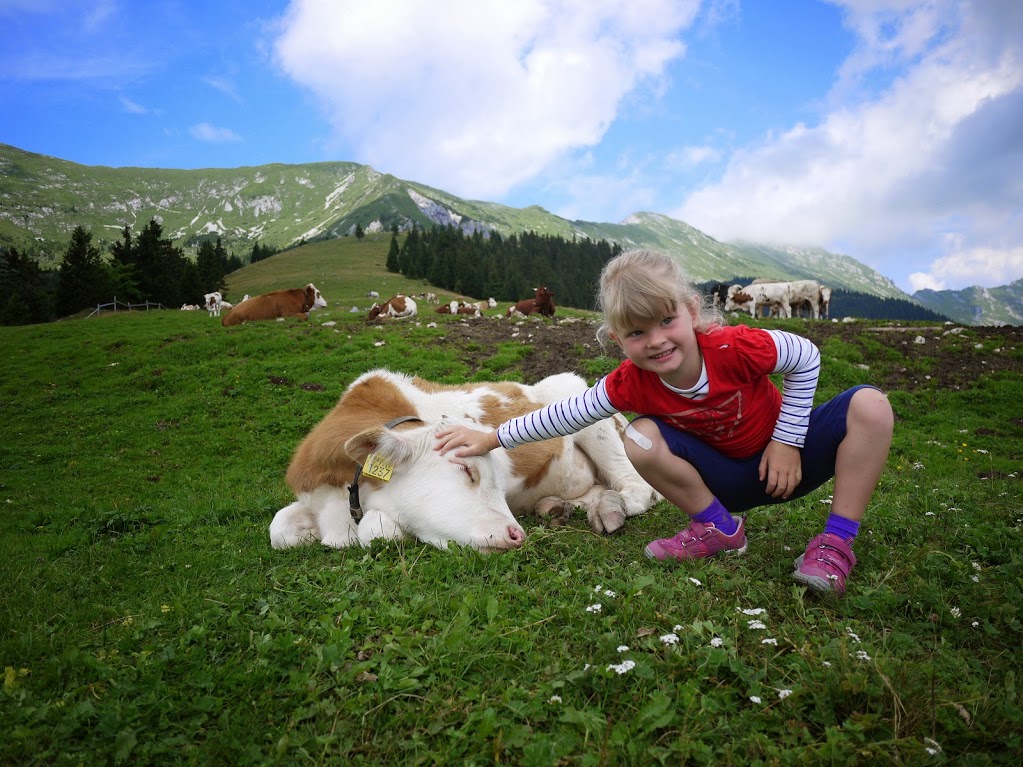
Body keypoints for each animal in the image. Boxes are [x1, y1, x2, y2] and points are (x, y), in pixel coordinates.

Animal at [268, 370, 658, 552]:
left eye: (497, 480)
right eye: (466, 469)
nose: (516, 534)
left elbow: (376, 531)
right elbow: (279, 529)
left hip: (586, 409)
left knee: (640, 489)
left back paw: (612, 508)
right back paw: (556, 507)